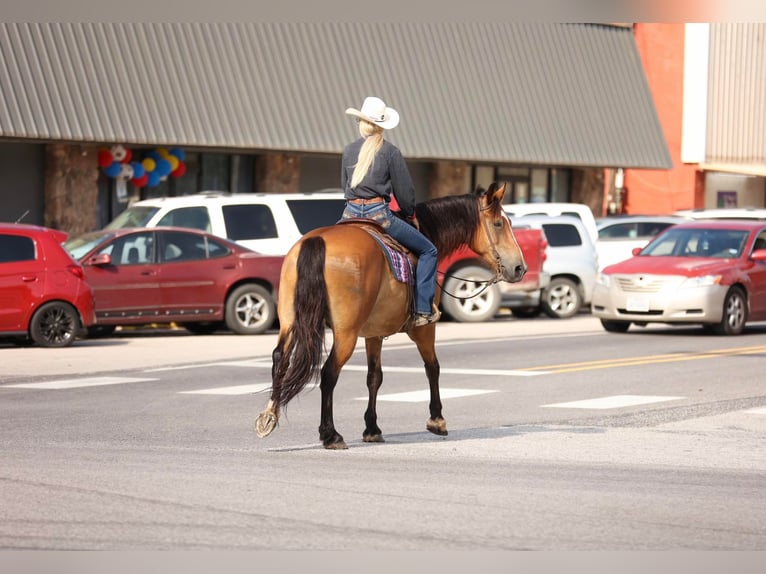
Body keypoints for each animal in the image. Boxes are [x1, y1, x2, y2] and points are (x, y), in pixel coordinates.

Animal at [256, 182, 528, 452]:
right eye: (499, 223)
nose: (519, 268)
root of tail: (317, 241)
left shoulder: (373, 333)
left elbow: (374, 377)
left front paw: (372, 428)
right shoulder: (424, 329)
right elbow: (433, 367)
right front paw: (437, 420)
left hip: (290, 323)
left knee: (280, 359)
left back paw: (270, 416)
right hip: (346, 333)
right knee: (329, 373)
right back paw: (330, 434)